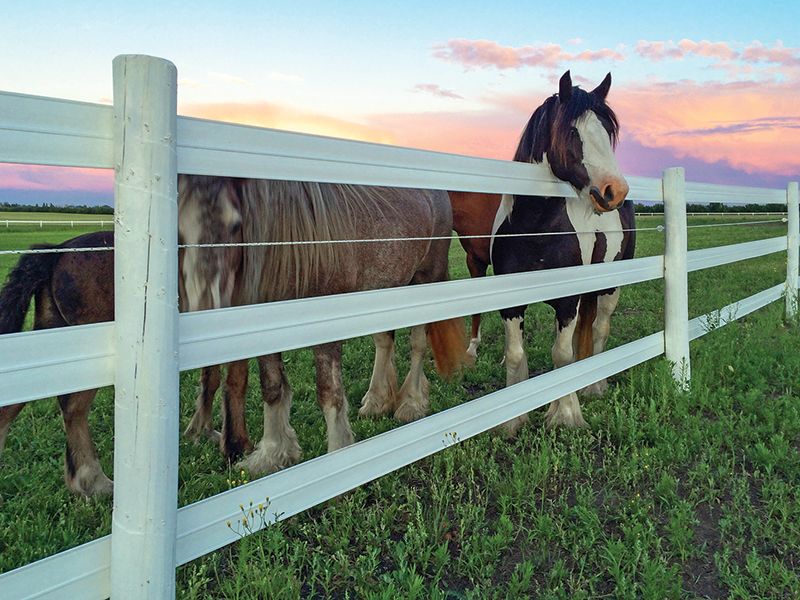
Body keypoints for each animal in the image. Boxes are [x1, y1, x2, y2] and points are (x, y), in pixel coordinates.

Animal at [0, 230, 247, 499]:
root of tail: (58, 252)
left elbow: (210, 381)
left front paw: (202, 432)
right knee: (74, 408)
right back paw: (94, 481)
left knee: (15, 405)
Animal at [178, 175, 472, 476]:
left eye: (236, 224)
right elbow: (271, 388)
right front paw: (272, 455)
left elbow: (329, 393)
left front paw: (338, 457)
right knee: (384, 341)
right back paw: (376, 401)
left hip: (425, 279)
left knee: (417, 345)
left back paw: (411, 404)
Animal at [480, 70, 634, 435]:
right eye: (571, 131)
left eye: (607, 132)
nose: (615, 190)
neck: (536, 227)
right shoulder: (511, 301)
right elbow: (516, 353)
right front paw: (513, 420)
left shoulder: (567, 301)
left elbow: (562, 356)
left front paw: (564, 415)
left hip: (610, 287)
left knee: (599, 330)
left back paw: (594, 386)